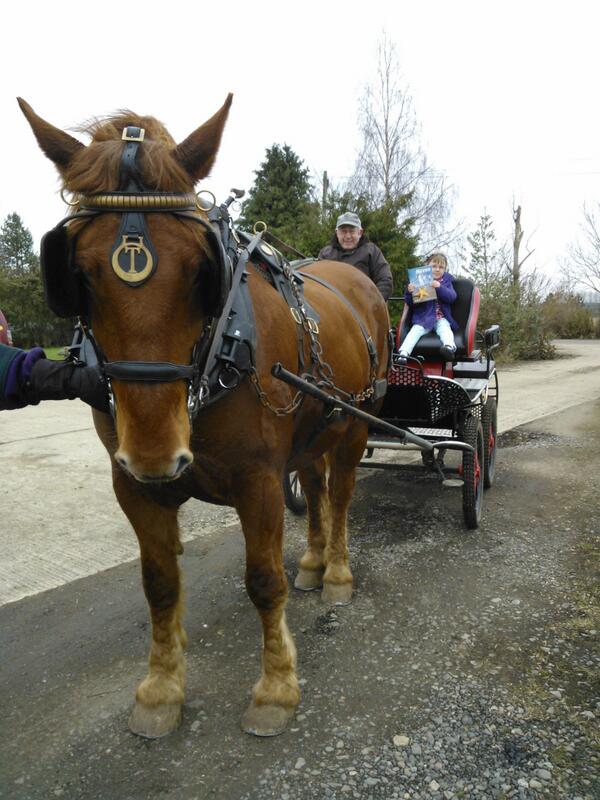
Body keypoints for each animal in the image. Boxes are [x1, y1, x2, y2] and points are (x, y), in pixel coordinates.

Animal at [18, 95, 390, 738]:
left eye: (200, 271)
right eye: (78, 273)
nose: (155, 452)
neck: (220, 348)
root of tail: (356, 278)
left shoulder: (258, 480)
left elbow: (263, 580)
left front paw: (275, 688)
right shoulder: (133, 487)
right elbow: (160, 586)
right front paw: (162, 689)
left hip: (355, 421)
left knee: (340, 495)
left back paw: (338, 573)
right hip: (311, 429)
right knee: (316, 488)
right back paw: (314, 561)